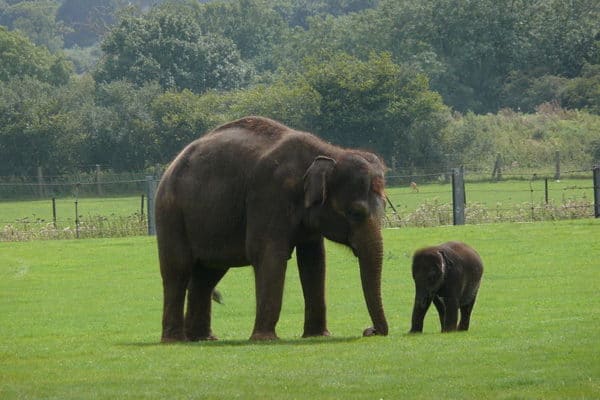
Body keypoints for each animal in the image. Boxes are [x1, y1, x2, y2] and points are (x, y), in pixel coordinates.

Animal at [155, 115, 390, 340]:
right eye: (355, 213)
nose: (369, 330)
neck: (328, 152)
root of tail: (171, 166)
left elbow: (314, 260)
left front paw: (316, 335)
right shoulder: (269, 195)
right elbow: (268, 253)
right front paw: (264, 339)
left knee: (207, 274)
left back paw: (203, 338)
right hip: (171, 215)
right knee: (178, 269)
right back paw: (176, 339)